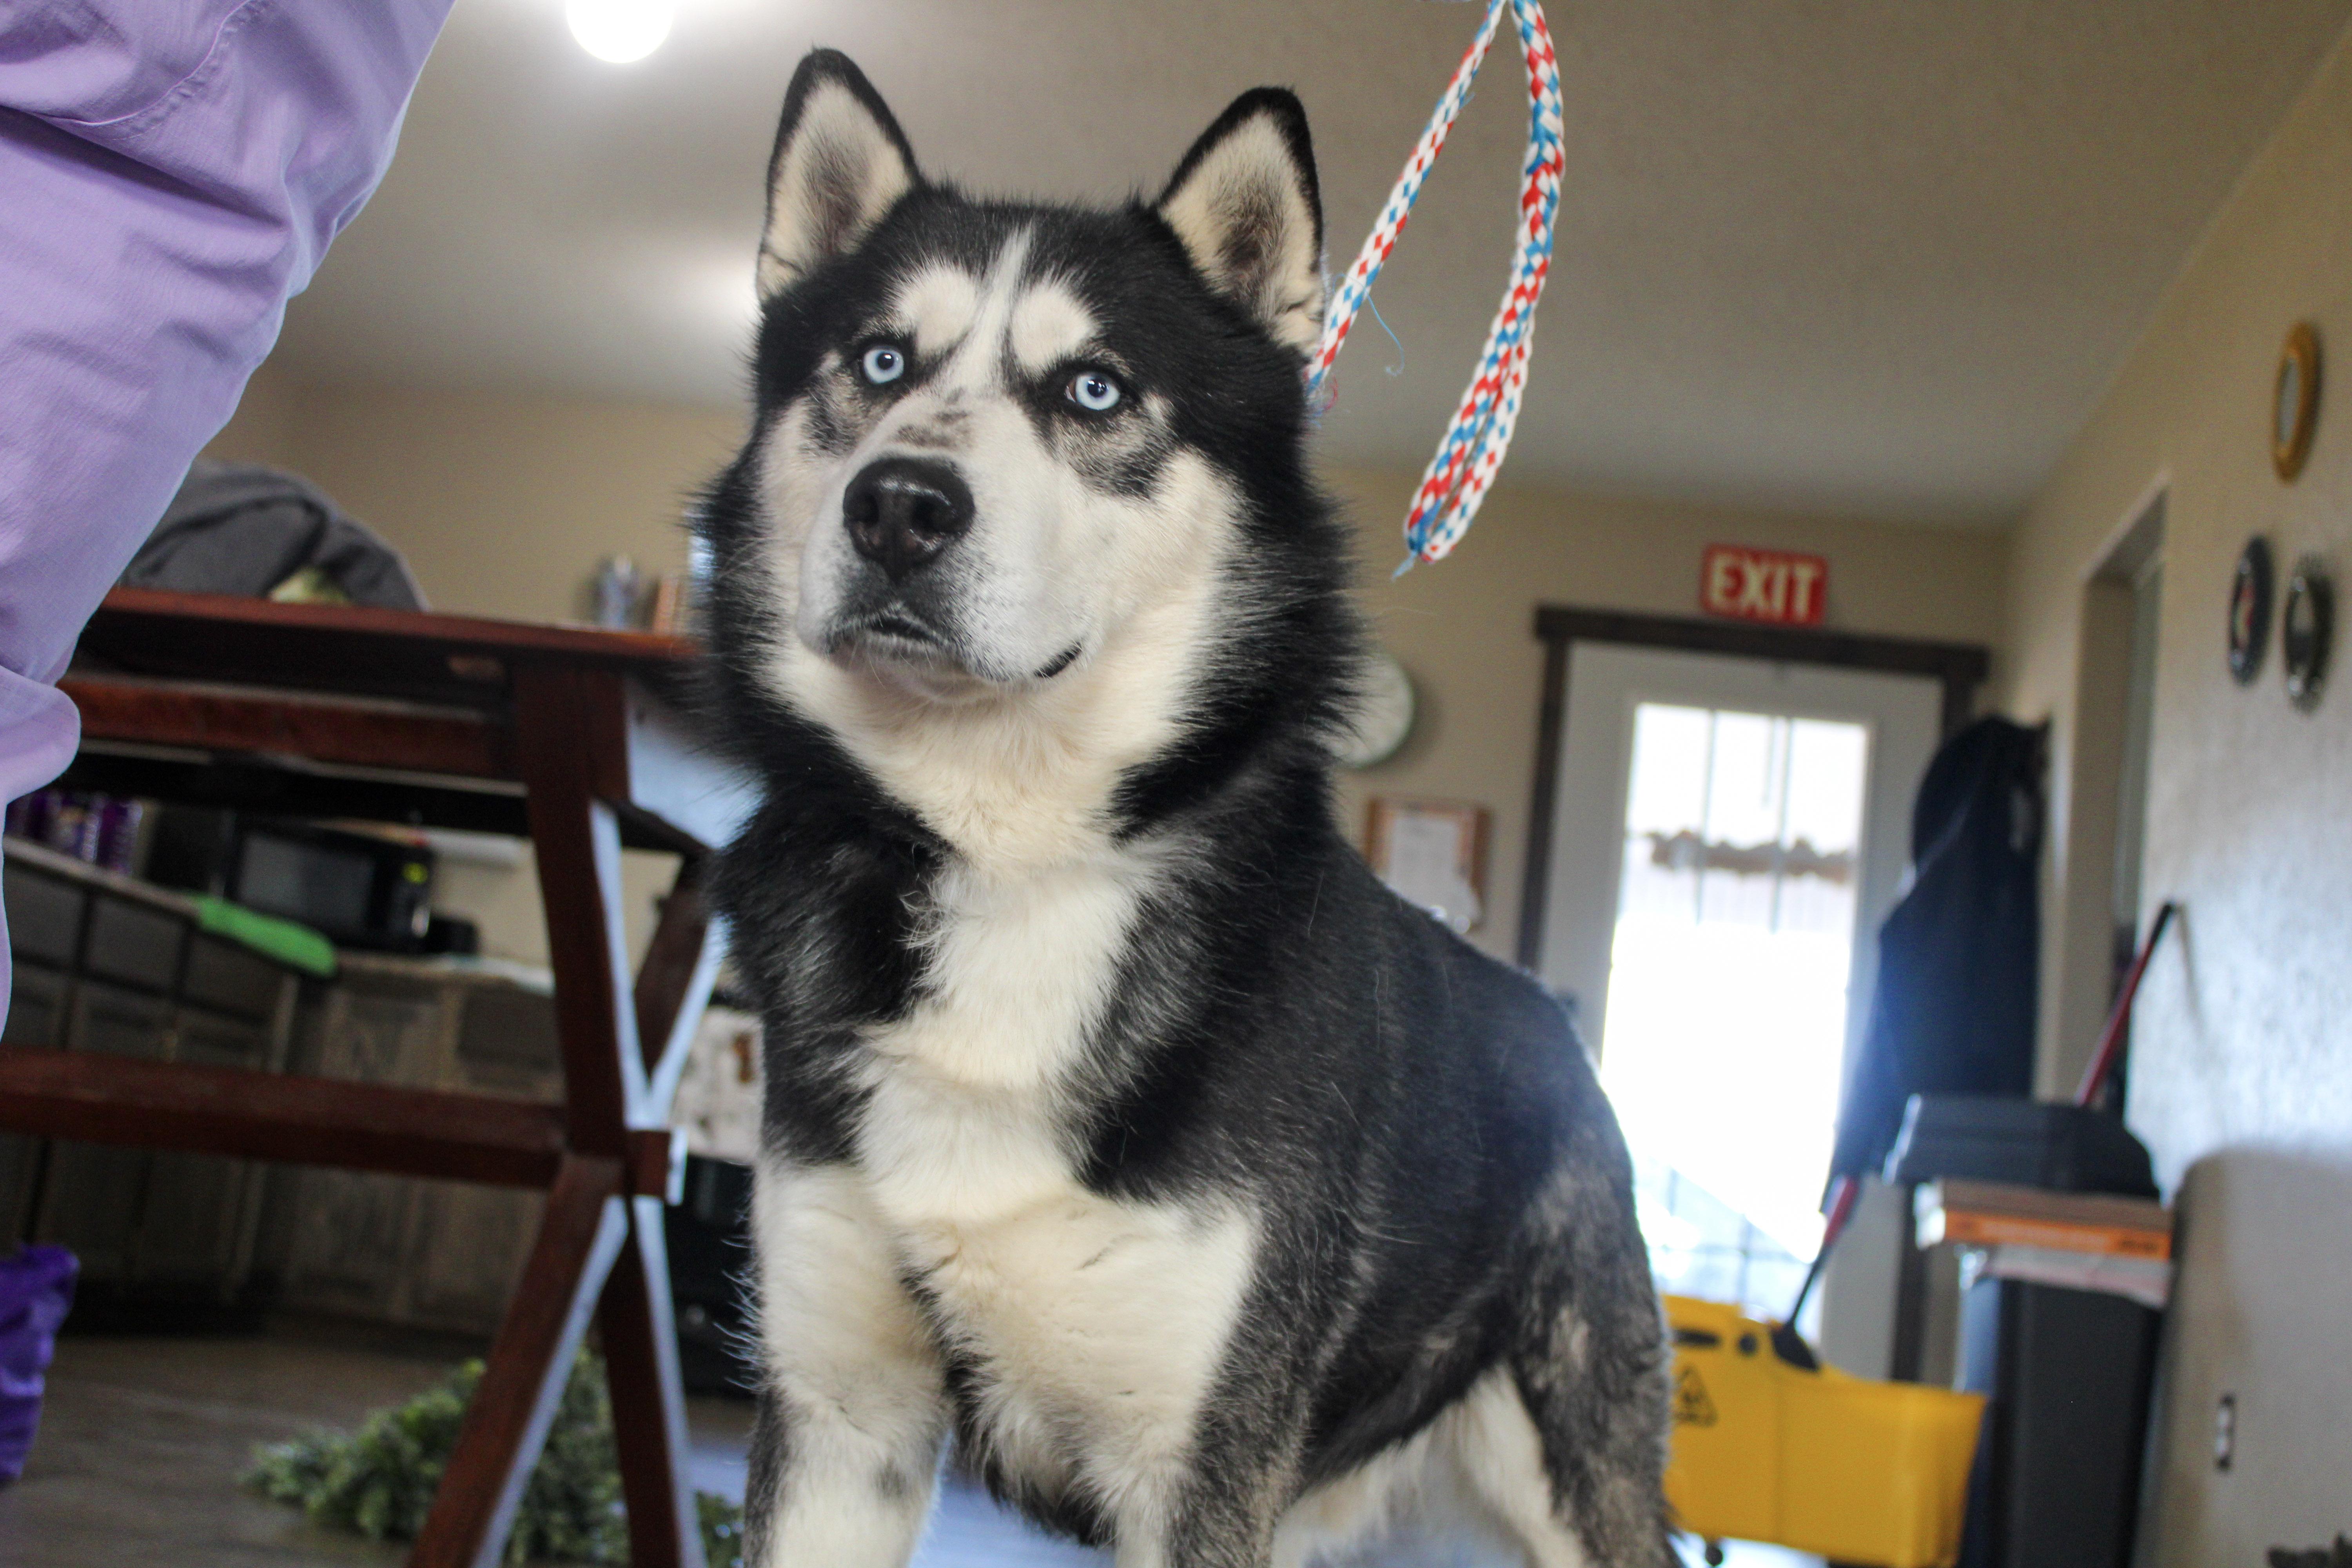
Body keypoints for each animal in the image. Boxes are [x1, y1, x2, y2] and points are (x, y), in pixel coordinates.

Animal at [693, 48, 1675, 1568]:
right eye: (878, 363)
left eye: (1095, 390)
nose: (900, 506)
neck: (1011, 856)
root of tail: (1558, 1030)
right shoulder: (838, 1420)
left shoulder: (1199, 1461)